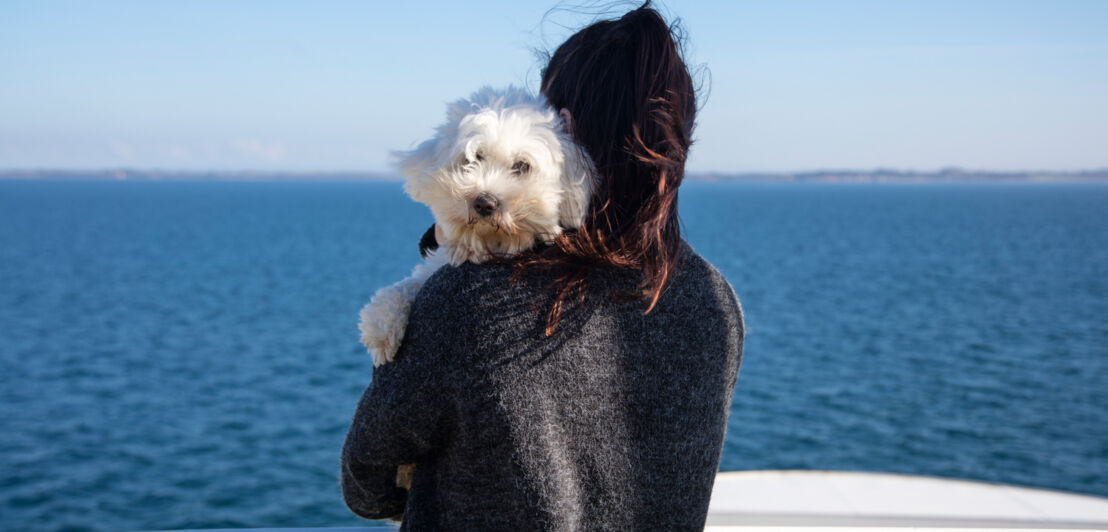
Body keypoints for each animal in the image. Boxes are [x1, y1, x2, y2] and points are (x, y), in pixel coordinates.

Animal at [358, 88, 593, 370]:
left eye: (522, 166)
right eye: (474, 158)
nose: (485, 202)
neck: (488, 243)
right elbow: (408, 283)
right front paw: (381, 325)